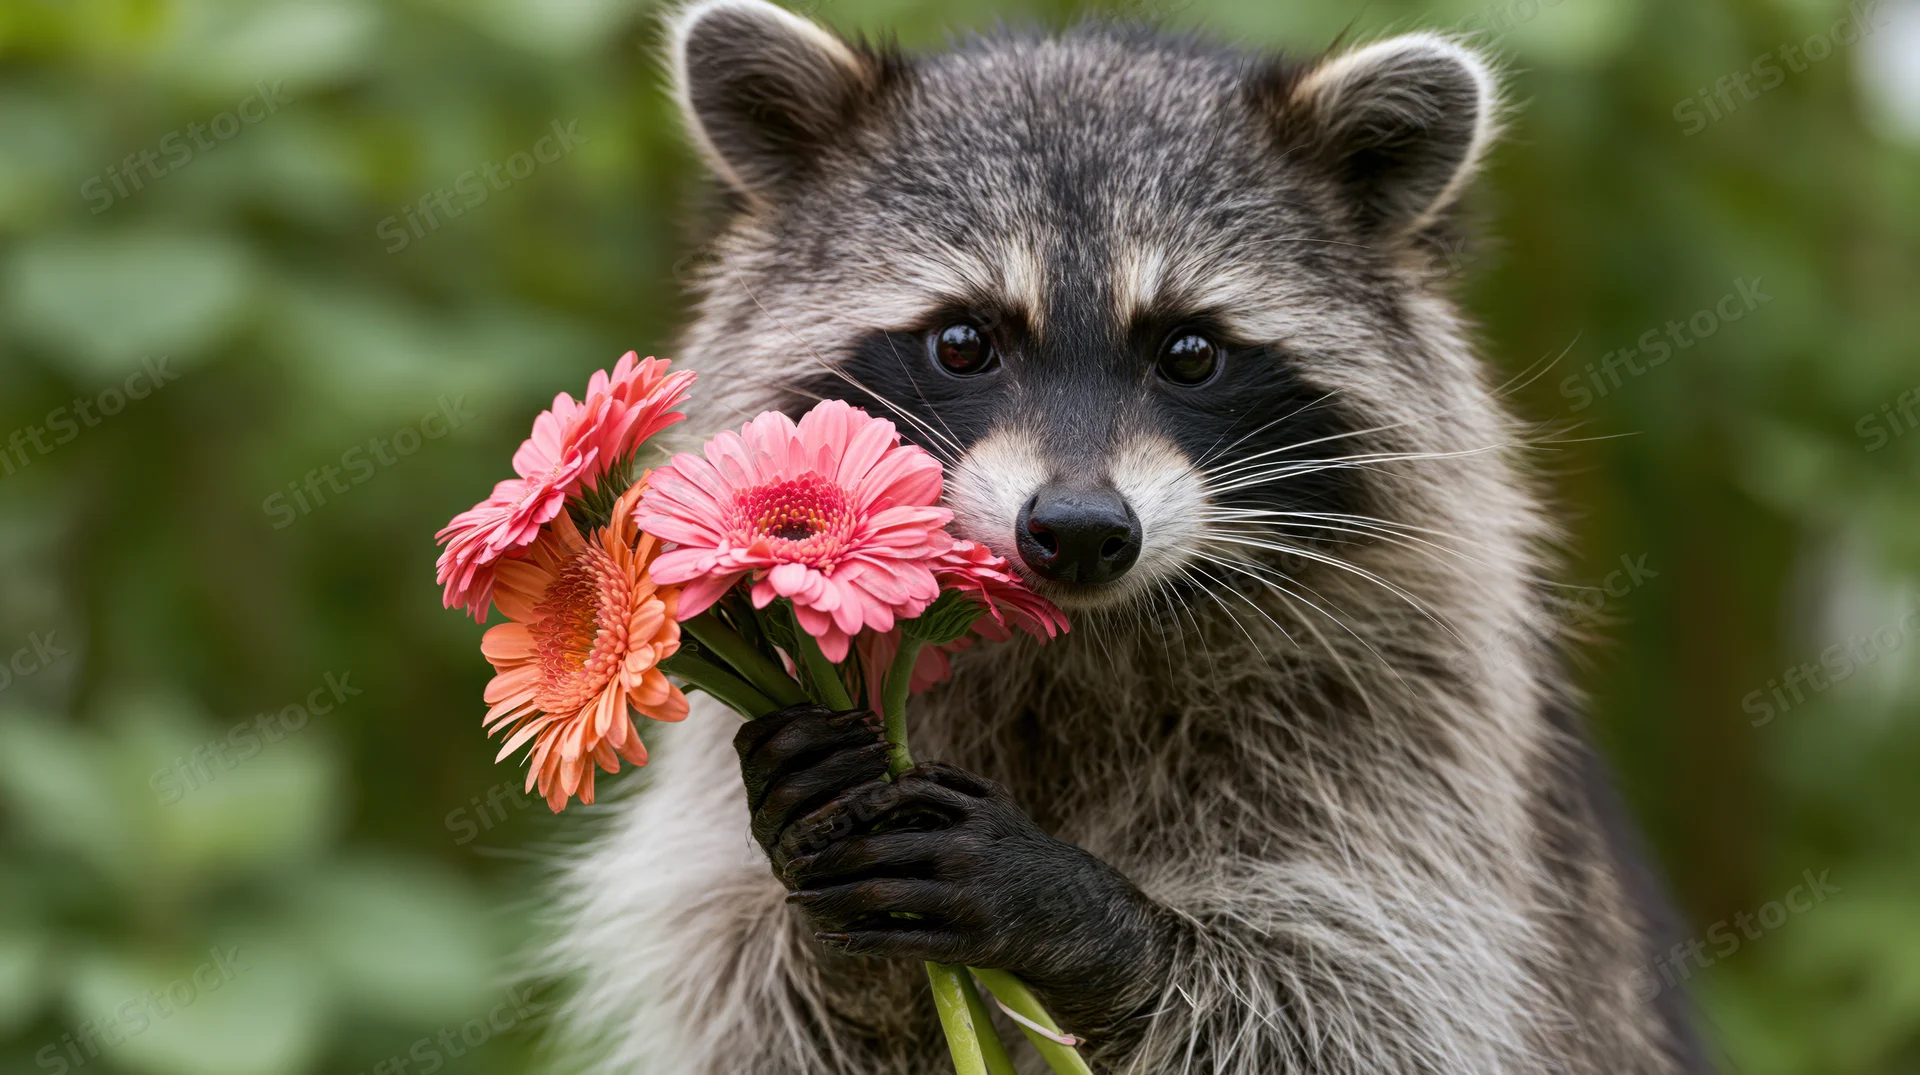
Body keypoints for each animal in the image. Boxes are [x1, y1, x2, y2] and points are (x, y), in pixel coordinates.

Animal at [539, 2, 1708, 1072]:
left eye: (1190, 351)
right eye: (963, 340)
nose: (1079, 530)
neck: (1075, 635)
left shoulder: (1402, 718)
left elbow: (1358, 995)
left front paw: (1083, 915)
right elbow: (752, 981)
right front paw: (824, 838)